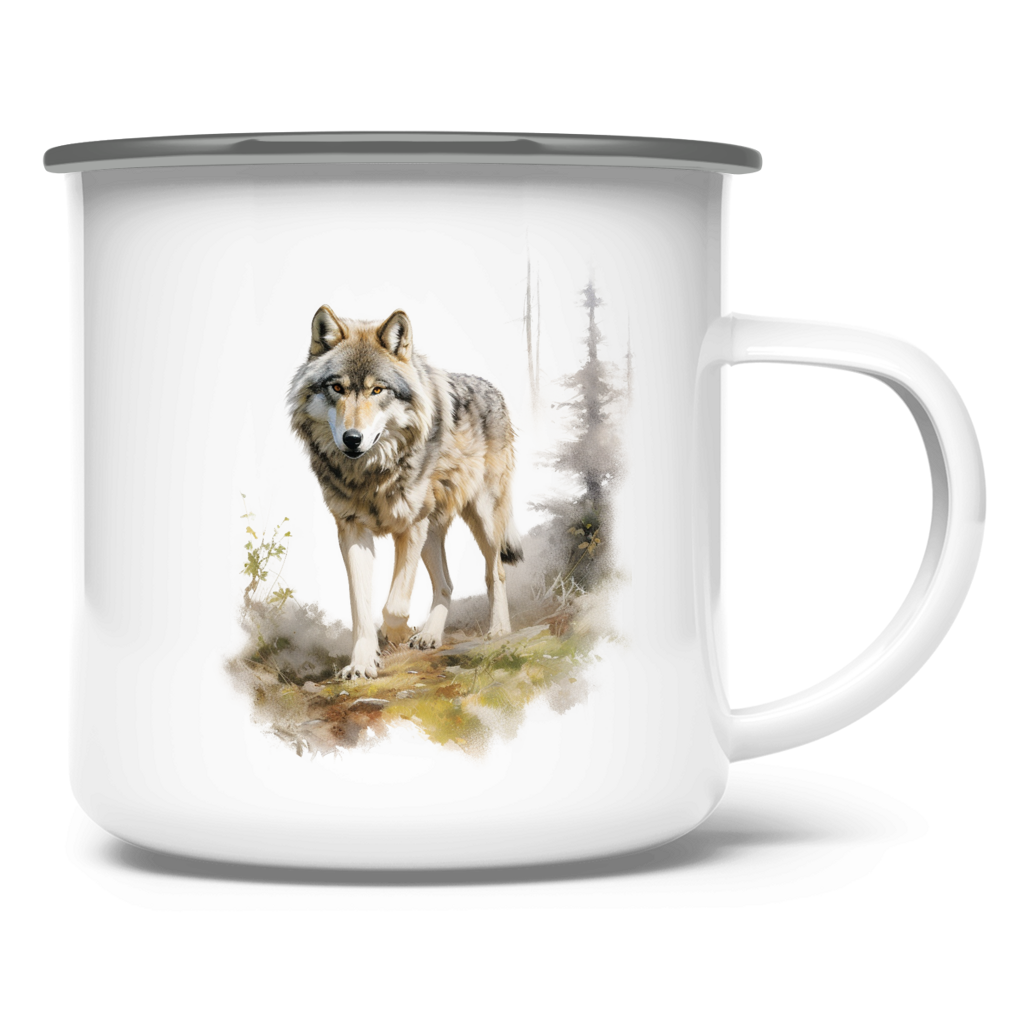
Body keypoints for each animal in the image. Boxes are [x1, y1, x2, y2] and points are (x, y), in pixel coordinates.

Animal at [283, 304, 525, 679]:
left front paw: (394, 633)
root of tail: (496, 389)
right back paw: (429, 636)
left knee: (494, 572)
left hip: (479, 520)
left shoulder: (409, 526)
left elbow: (394, 606)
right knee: (447, 585)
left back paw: (498, 630)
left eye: (377, 391)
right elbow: (361, 608)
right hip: (432, 533)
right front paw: (362, 662)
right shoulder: (353, 530)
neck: (370, 475)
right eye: (337, 387)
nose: (352, 439)